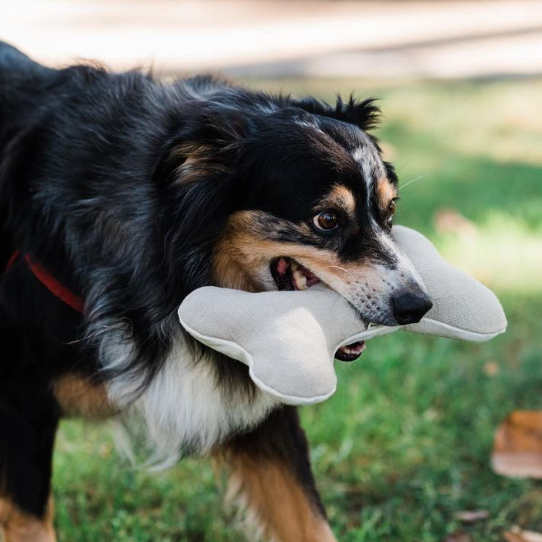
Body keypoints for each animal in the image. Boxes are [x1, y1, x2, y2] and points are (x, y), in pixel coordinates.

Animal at [0, 42, 434, 542]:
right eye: (326, 220)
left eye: (389, 211)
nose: (418, 306)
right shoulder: (20, 402)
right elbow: (30, 522)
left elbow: (307, 517)